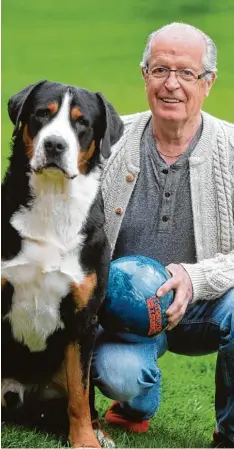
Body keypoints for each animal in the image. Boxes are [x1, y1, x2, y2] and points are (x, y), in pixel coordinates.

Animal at [1, 81, 123, 448]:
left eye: (81, 122)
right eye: (43, 113)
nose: (55, 144)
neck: (52, 203)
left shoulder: (84, 318)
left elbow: (80, 397)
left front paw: (85, 441)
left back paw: (100, 432)